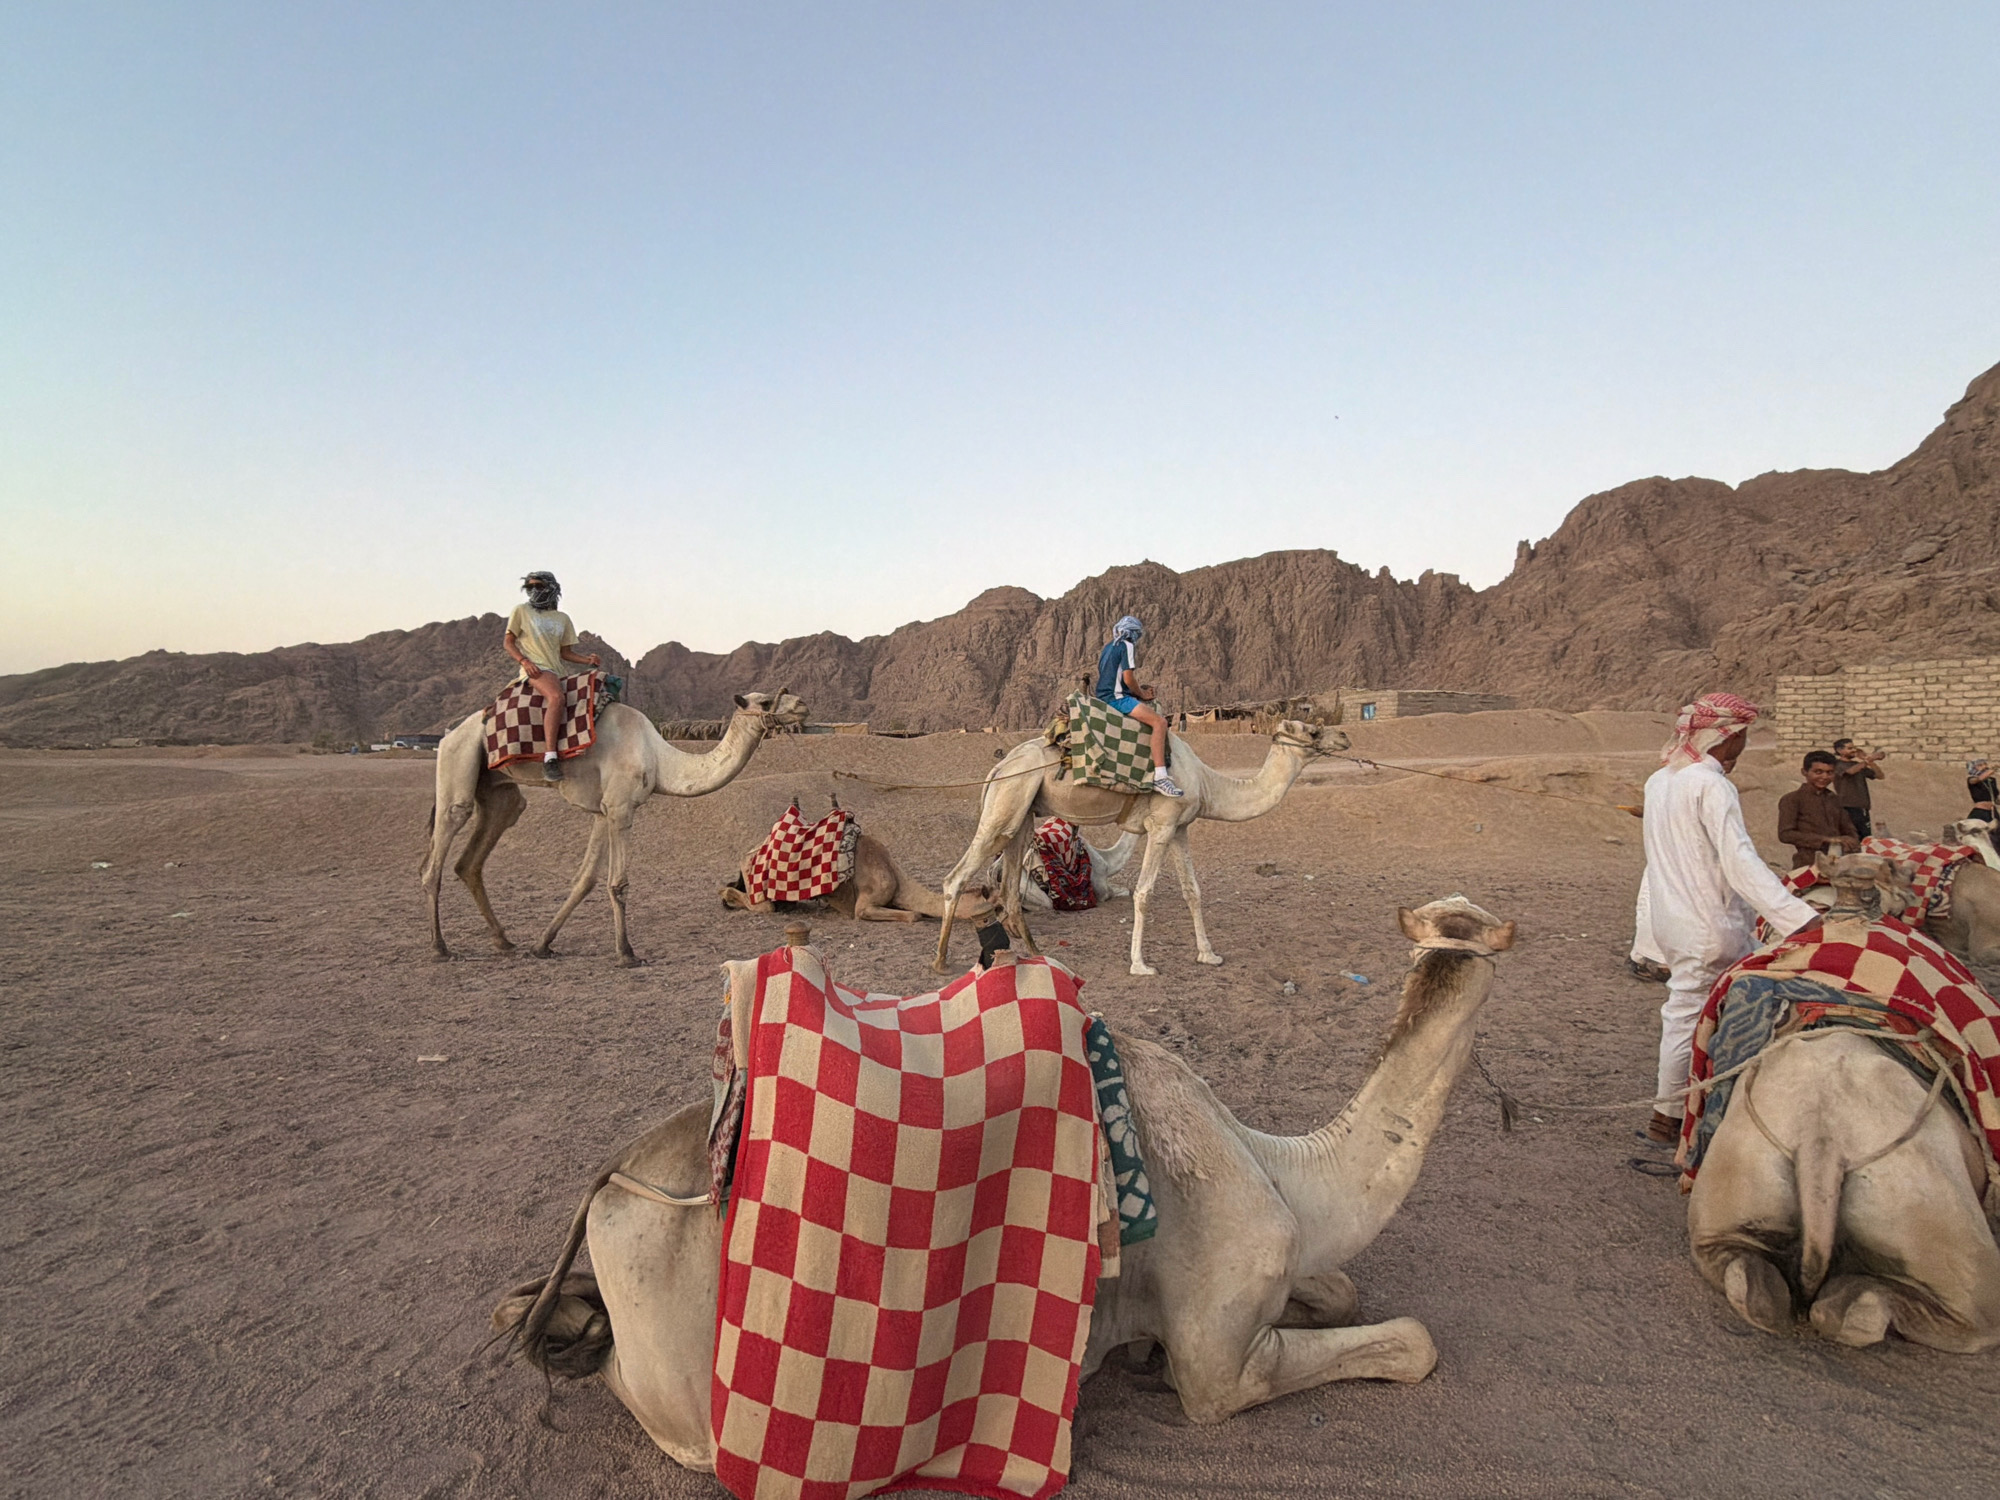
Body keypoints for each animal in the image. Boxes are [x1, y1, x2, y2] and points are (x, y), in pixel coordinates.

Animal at [422, 689, 808, 964]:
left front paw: (542, 944)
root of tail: (448, 734)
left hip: (499, 794)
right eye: (765, 700)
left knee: (472, 859)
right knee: (439, 852)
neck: (661, 758)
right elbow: (618, 883)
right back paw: (440, 948)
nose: (803, 704)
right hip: (458, 761)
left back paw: (503, 940)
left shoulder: (602, 811)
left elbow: (585, 879)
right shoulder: (621, 808)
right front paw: (626, 953)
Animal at [491, 895, 1516, 1464]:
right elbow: (1411, 1343)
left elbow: (1340, 1287)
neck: (1284, 1172)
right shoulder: (1220, 1362)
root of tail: (611, 1188)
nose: (1458, 940)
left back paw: (544, 1312)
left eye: (1457, 934)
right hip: (688, 1397)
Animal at [932, 720, 1351, 976]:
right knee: (956, 878)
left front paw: (1208, 954)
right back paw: (940, 962)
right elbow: (1144, 893)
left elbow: (1192, 891)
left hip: (1022, 812)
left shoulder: (1180, 827)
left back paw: (1037, 956)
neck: (1207, 782)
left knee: (1008, 891)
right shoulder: (1161, 825)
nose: (1345, 737)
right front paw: (1140, 965)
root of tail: (998, 768)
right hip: (1006, 803)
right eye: (1314, 731)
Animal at [1687, 852, 2000, 1350]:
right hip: (1937, 1227)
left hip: (1733, 1187)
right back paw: (1860, 1303)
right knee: (1967, 1315)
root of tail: (1823, 1143)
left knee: (1747, 1275)